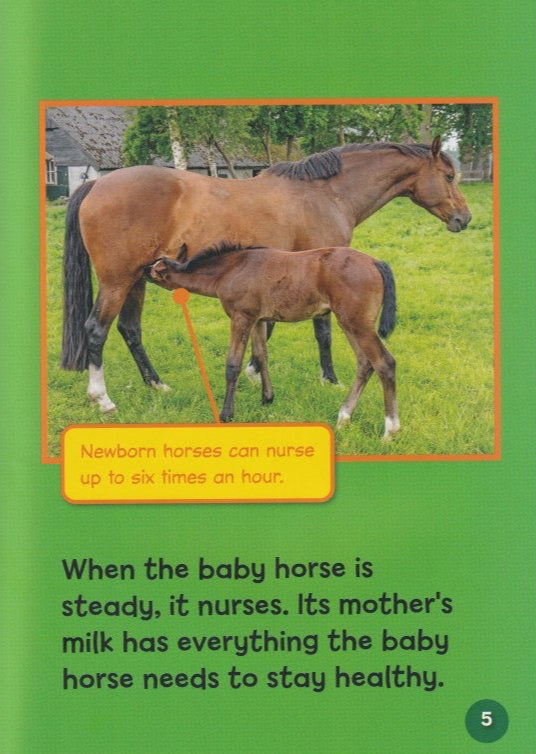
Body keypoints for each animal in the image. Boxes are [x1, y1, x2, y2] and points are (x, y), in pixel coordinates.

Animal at [60, 137, 470, 413]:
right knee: (96, 330)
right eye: (450, 175)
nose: (464, 218)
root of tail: (97, 183)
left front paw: (255, 372)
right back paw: (103, 398)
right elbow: (321, 331)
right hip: (117, 281)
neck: (324, 194)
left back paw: (157, 385)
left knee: (130, 329)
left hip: (137, 280)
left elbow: (267, 329)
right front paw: (328, 379)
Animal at [147, 243, 399, 439]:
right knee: (365, 363)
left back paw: (390, 431)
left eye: (156, 268)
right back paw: (344, 418)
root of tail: (376, 262)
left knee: (384, 363)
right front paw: (267, 398)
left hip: (356, 322)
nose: (144, 270)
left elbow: (233, 364)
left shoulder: (241, 317)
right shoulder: (258, 320)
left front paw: (226, 414)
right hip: (349, 322)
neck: (230, 269)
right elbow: (261, 355)